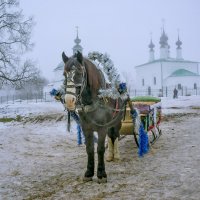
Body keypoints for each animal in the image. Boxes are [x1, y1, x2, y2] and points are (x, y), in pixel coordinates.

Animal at [61, 51, 126, 183]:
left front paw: (101, 174)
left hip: (117, 123)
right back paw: (110, 156)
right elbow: (89, 149)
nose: (69, 100)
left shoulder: (102, 128)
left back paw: (116, 155)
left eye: (80, 73)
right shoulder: (86, 129)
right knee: (111, 137)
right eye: (64, 74)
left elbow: (100, 149)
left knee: (115, 136)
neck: (95, 101)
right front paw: (89, 173)